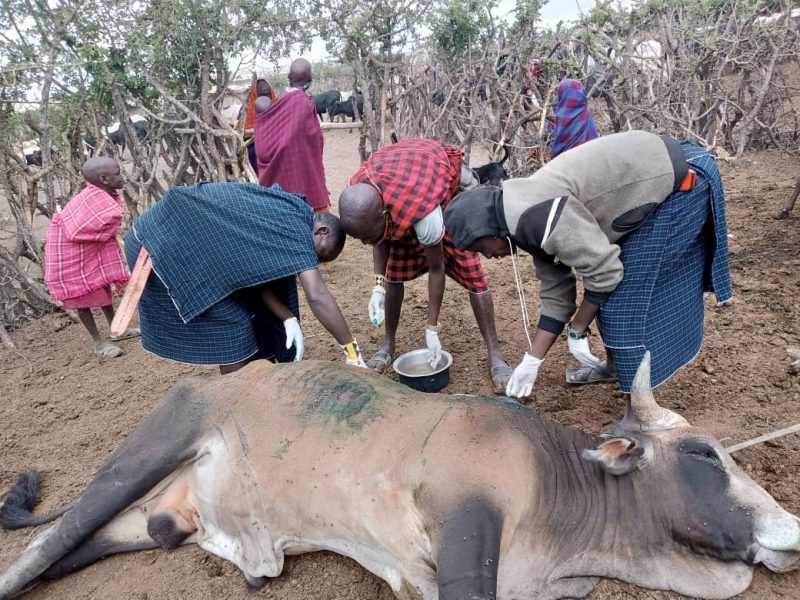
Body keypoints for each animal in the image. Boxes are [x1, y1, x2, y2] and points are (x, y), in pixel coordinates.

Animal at [1, 354, 800, 596]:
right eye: (704, 456)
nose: (789, 527)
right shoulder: (464, 522)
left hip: (143, 522)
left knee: (64, 556)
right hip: (144, 452)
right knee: (35, 554)